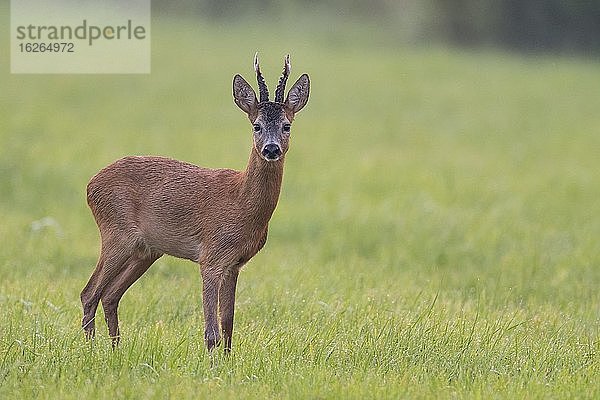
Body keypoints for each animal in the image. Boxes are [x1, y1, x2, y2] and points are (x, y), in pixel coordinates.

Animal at [80, 54, 312, 352]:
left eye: (287, 125)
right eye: (256, 126)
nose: (271, 149)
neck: (241, 204)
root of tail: (90, 185)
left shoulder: (235, 263)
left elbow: (228, 324)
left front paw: (228, 360)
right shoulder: (211, 257)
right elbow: (211, 332)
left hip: (146, 250)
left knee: (109, 295)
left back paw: (116, 349)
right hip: (116, 233)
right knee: (89, 293)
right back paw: (91, 350)